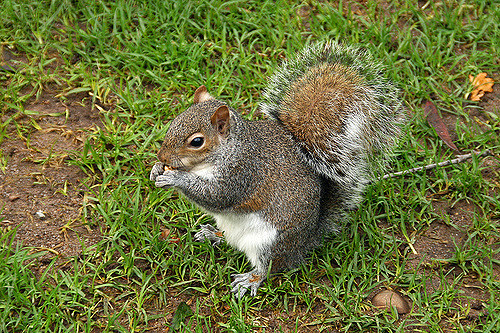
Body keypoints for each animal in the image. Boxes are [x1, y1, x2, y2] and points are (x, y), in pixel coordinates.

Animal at [150, 40, 404, 296]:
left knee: (271, 267)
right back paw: (213, 234)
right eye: (174, 122)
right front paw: (156, 168)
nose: (162, 155)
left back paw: (250, 280)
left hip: (270, 243)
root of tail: (306, 241)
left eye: (197, 142)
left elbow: (216, 196)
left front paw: (175, 179)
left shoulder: (243, 172)